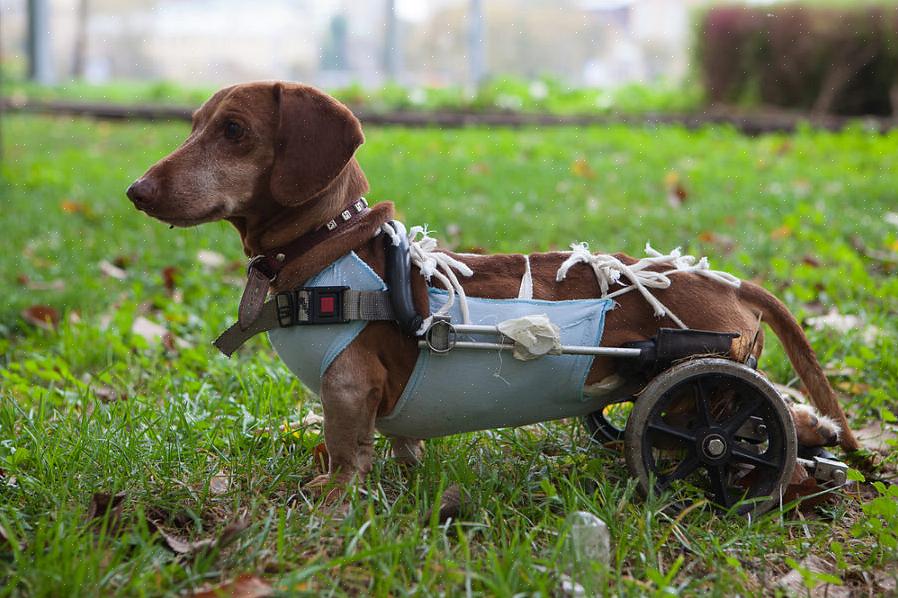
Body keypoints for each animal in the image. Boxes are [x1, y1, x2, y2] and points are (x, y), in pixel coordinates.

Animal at [126, 82, 856, 500]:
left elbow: (345, 454)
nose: (137, 191)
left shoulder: (348, 389)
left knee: (761, 447)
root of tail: (728, 279)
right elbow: (400, 446)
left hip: (700, 388)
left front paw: (327, 501)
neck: (330, 249)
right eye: (193, 124)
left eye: (234, 131)